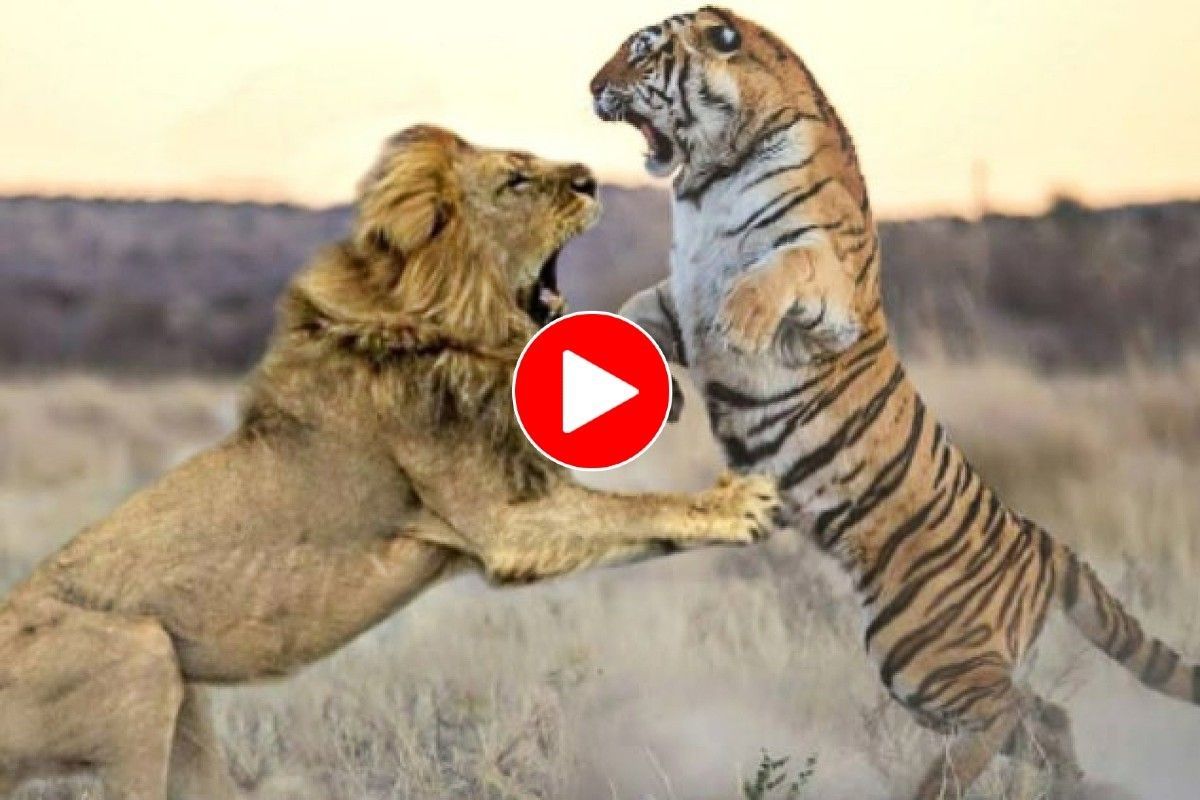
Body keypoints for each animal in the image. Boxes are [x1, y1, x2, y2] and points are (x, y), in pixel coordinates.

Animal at [0, 125, 779, 799]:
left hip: (182, 700)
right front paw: (738, 503)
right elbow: (635, 508)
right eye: (517, 180)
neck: (448, 325)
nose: (591, 179)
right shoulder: (502, 525)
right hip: (140, 657)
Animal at [590, 7, 1200, 798]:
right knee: (1047, 717)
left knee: (1008, 712)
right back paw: (1059, 783)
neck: (708, 178)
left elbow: (782, 267)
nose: (593, 86)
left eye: (643, 53)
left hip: (923, 651)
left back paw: (939, 787)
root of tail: (1040, 541)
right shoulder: (679, 287)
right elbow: (635, 309)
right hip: (932, 668)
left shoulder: (828, 283)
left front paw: (740, 323)